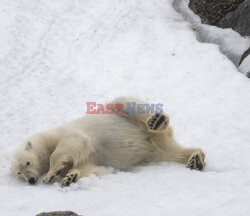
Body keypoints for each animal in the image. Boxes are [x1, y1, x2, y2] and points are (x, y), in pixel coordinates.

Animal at [11, 97, 205, 186]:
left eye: (27, 163)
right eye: (18, 173)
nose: (31, 180)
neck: (44, 140)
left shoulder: (64, 134)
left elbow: (71, 144)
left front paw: (51, 174)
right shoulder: (86, 159)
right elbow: (91, 168)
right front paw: (69, 178)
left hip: (123, 114)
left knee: (126, 102)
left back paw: (156, 121)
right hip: (156, 150)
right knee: (171, 152)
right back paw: (195, 159)